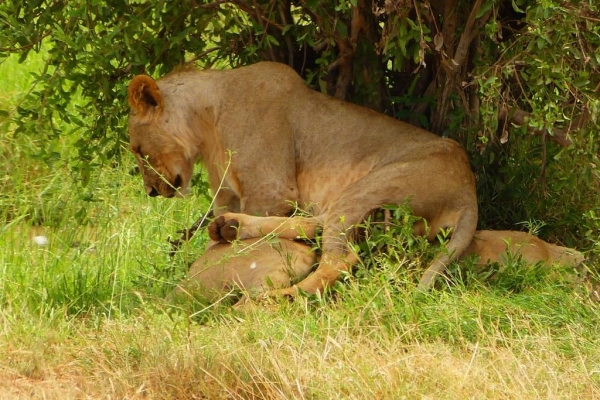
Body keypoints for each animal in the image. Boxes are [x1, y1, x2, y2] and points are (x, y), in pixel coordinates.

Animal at [126, 61, 478, 296]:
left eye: (138, 150)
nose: (151, 191)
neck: (206, 125)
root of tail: (469, 194)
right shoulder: (229, 195)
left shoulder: (272, 190)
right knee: (321, 226)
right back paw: (231, 227)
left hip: (373, 184)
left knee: (339, 258)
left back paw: (272, 299)